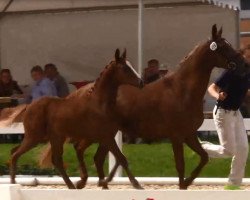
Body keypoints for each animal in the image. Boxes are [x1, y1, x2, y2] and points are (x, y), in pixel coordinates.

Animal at [4, 49, 144, 190]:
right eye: (125, 68)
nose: (141, 82)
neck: (99, 104)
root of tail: (28, 106)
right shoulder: (106, 137)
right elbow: (120, 158)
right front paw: (136, 184)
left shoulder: (106, 136)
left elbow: (106, 158)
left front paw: (103, 183)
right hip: (36, 137)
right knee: (17, 155)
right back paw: (13, 183)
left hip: (52, 138)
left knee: (46, 158)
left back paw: (71, 185)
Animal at [69, 24, 247, 190]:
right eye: (223, 46)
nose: (244, 64)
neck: (181, 90)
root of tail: (85, 91)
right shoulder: (176, 136)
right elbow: (180, 166)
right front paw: (183, 184)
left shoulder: (189, 134)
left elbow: (204, 157)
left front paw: (188, 182)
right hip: (96, 132)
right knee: (81, 149)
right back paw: (84, 181)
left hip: (107, 134)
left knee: (97, 157)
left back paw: (99, 183)